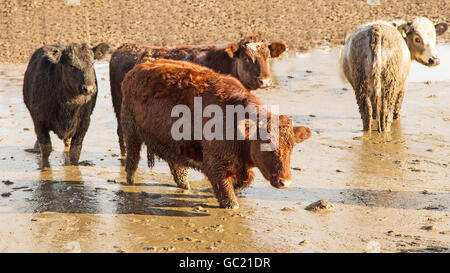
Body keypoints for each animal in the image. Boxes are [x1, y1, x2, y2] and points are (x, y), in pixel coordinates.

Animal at [109, 35, 286, 156]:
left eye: (268, 57)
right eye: (247, 58)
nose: (265, 81)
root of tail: (123, 48)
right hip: (120, 106)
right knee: (121, 132)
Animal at [119, 59, 310, 208]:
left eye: (291, 147)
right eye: (266, 143)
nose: (285, 182)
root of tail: (136, 70)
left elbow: (243, 181)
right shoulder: (215, 166)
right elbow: (229, 198)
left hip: (172, 145)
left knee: (178, 168)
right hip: (131, 133)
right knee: (132, 162)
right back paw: (130, 182)